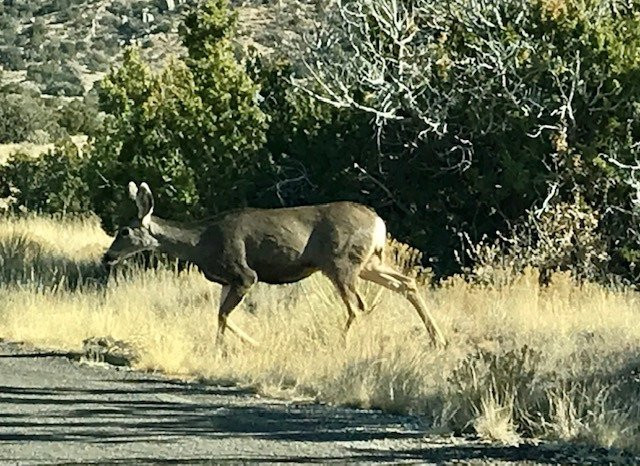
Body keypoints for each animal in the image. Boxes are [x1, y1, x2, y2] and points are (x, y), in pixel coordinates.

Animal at [104, 184, 444, 348]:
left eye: (124, 231)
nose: (108, 256)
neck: (200, 242)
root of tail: (379, 223)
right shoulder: (227, 280)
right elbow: (220, 316)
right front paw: (225, 347)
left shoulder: (244, 274)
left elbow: (223, 315)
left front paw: (249, 344)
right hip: (369, 261)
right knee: (406, 283)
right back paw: (438, 339)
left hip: (341, 263)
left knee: (358, 306)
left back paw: (343, 343)